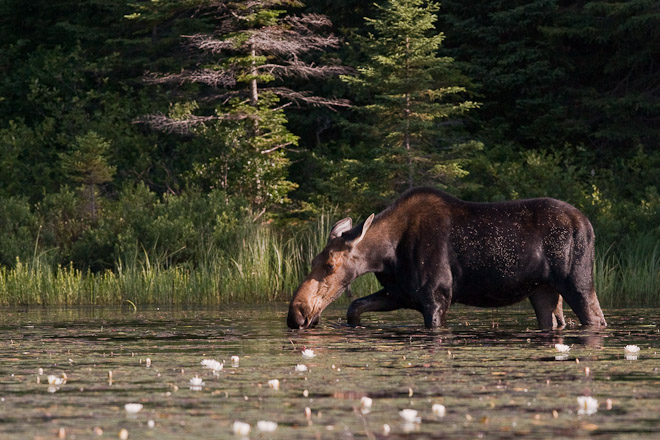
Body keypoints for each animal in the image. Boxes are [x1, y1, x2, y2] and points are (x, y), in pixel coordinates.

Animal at [286, 186, 604, 330]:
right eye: (312, 262)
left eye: (330, 265)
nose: (296, 314)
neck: (386, 256)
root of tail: (590, 226)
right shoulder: (401, 293)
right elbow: (355, 307)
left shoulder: (437, 296)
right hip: (542, 290)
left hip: (577, 281)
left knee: (596, 318)